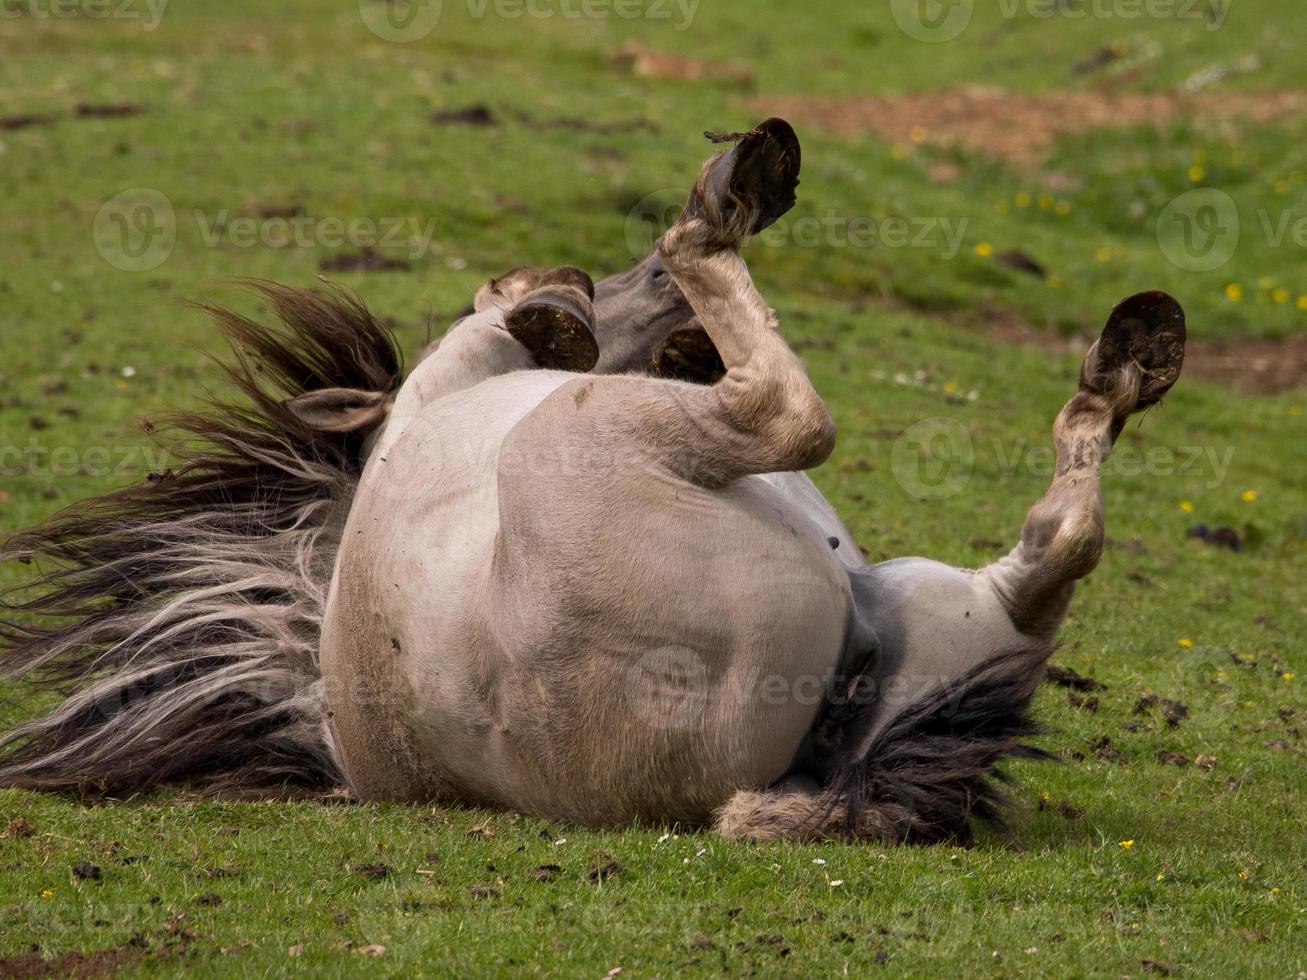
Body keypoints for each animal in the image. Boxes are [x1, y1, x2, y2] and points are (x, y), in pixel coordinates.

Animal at [0, 120, 1186, 846]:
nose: (652, 290)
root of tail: (802, 781)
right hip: (604, 447)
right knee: (795, 417)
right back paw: (719, 210)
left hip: (938, 607)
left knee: (1054, 545)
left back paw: (1123, 360)